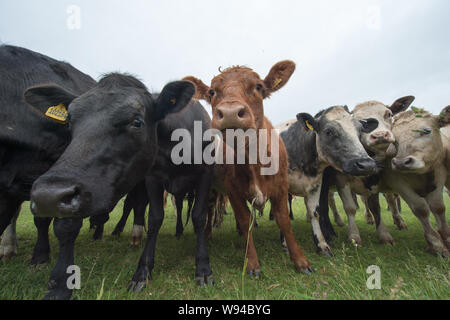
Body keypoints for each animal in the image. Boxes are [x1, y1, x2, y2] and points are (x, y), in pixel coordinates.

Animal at [183, 62, 312, 276]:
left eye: (258, 87)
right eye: (211, 92)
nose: (229, 112)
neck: (254, 160)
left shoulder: (281, 187)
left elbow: (284, 221)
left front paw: (300, 260)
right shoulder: (233, 191)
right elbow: (245, 220)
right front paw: (251, 262)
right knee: (209, 209)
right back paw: (209, 233)